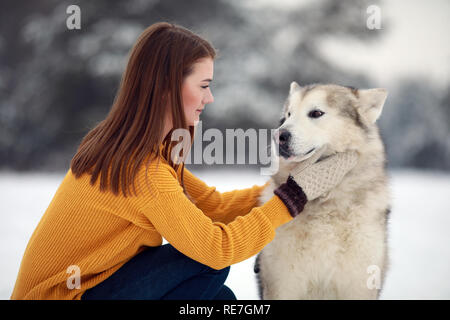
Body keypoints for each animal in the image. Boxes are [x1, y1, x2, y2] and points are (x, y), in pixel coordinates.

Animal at [256, 82, 390, 300]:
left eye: (316, 113)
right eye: (288, 115)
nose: (278, 136)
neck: (326, 206)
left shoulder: (359, 282)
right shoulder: (283, 283)